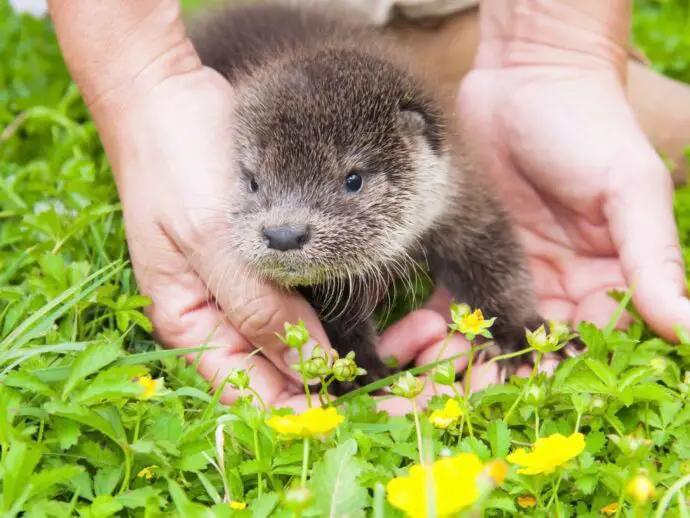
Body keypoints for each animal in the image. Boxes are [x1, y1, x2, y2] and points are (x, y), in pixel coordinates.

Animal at [188, 0, 560, 394]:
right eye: (253, 181)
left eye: (353, 180)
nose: (283, 234)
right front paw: (361, 373)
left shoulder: (461, 195)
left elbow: (492, 254)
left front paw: (518, 334)